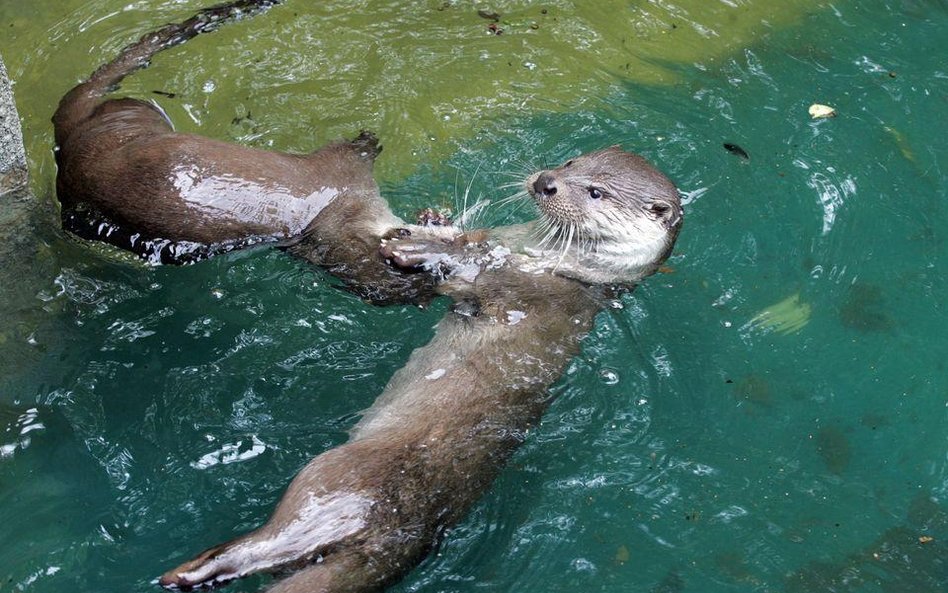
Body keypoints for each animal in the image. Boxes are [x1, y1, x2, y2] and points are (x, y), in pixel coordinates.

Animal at [51, 0, 452, 306]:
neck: (331, 215)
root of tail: (70, 138)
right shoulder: (342, 173)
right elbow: (351, 150)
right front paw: (368, 139)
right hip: (129, 114)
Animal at [157, 145, 680, 592]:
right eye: (573, 162)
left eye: (596, 193)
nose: (547, 182)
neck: (558, 263)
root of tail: (403, 536)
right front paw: (433, 222)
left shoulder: (520, 284)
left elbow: (467, 269)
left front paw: (420, 250)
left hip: (330, 483)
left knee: (279, 536)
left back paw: (192, 569)